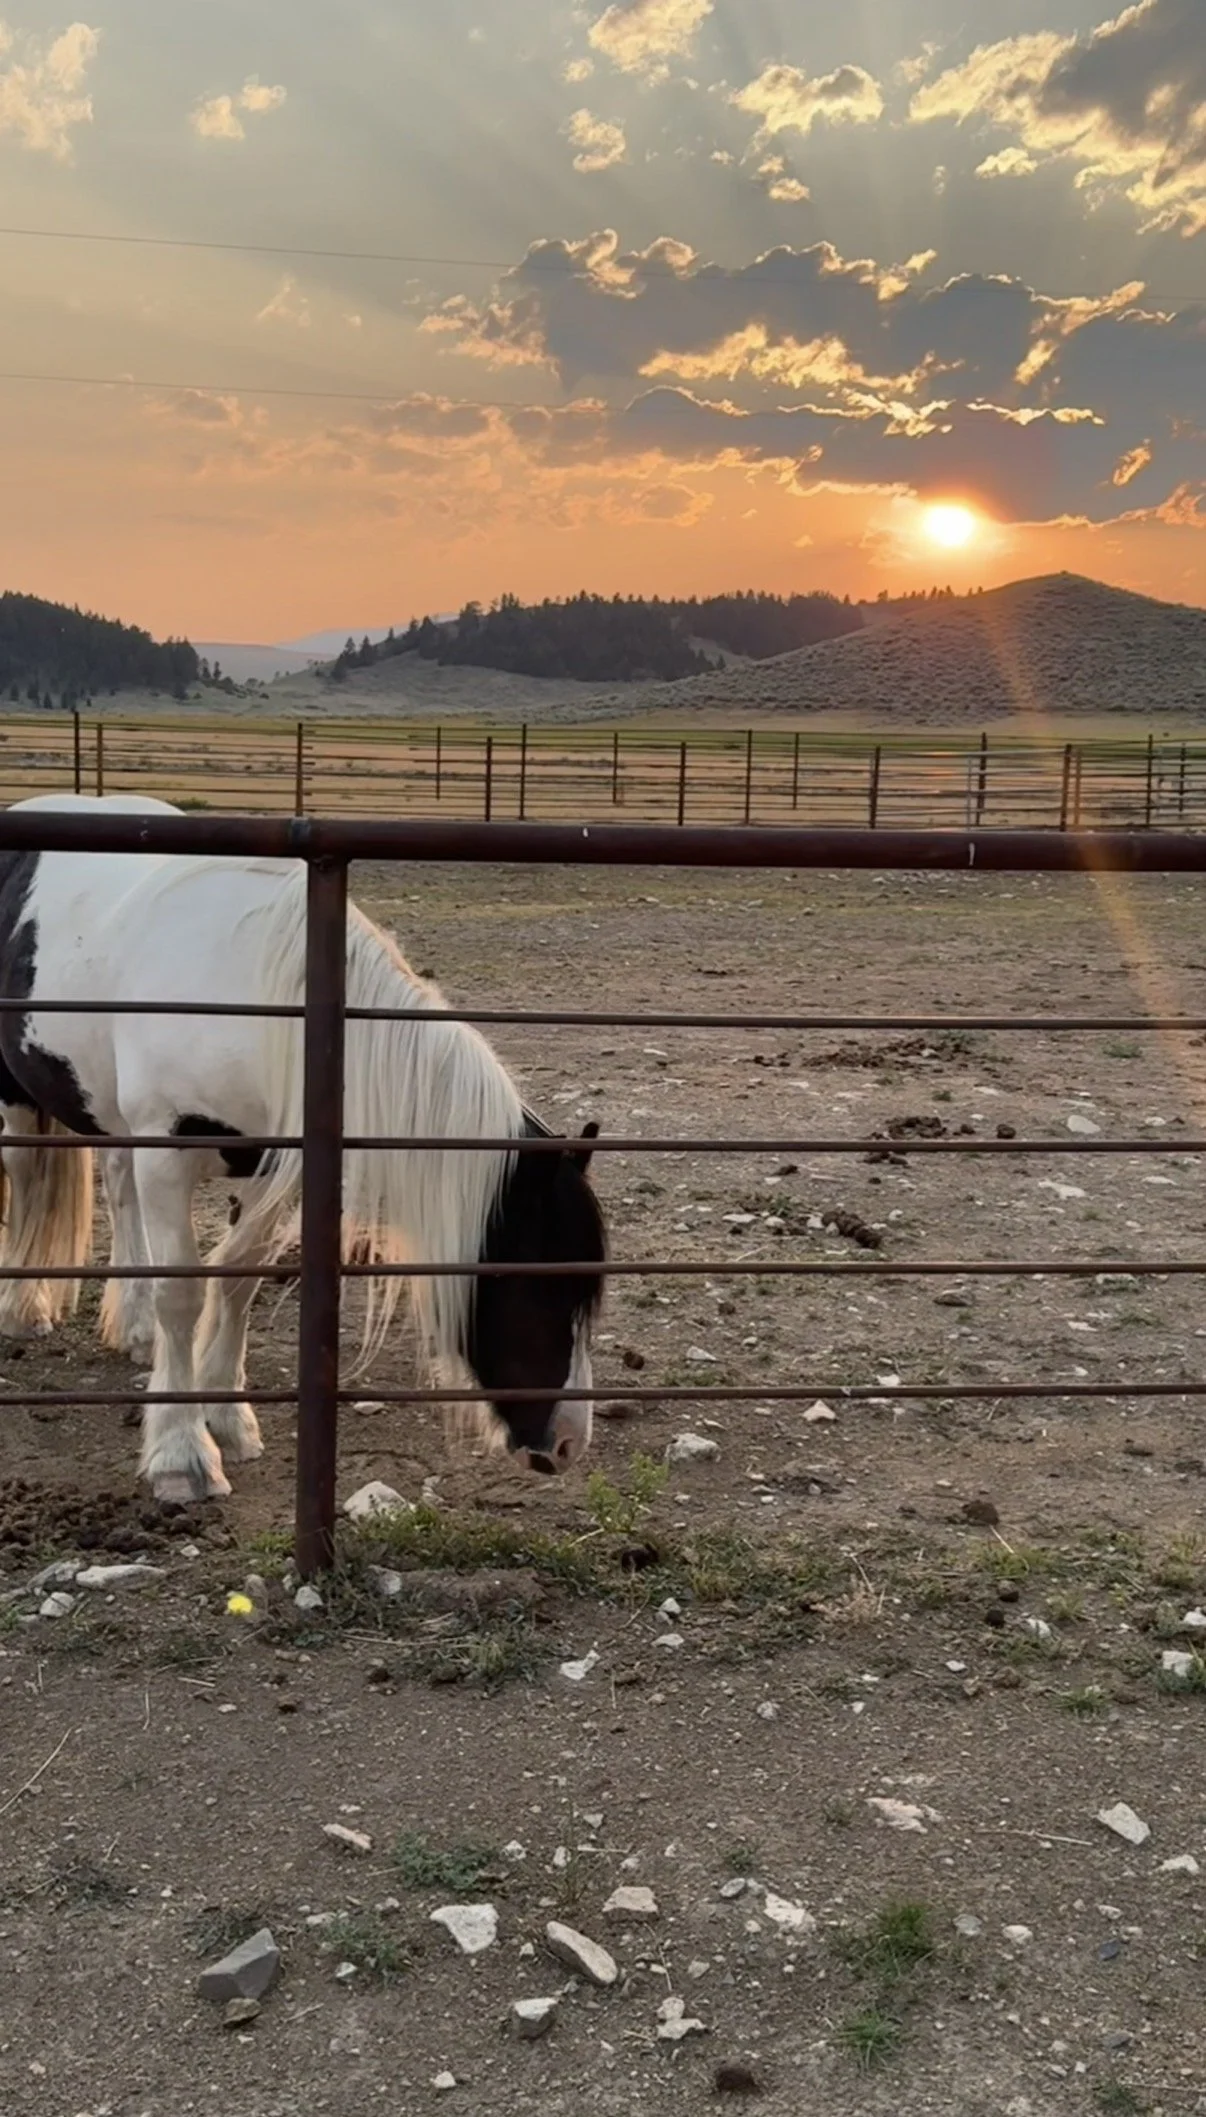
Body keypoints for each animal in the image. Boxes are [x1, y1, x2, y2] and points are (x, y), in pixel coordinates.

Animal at [0, 792, 606, 1503]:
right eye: (539, 1284)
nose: (568, 1442)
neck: (262, 1001)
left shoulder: (271, 1167)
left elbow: (237, 1277)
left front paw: (226, 1418)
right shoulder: (167, 1153)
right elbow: (184, 1293)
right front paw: (182, 1455)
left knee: (118, 1188)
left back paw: (137, 1328)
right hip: (18, 1094)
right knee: (26, 1177)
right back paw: (24, 1309)